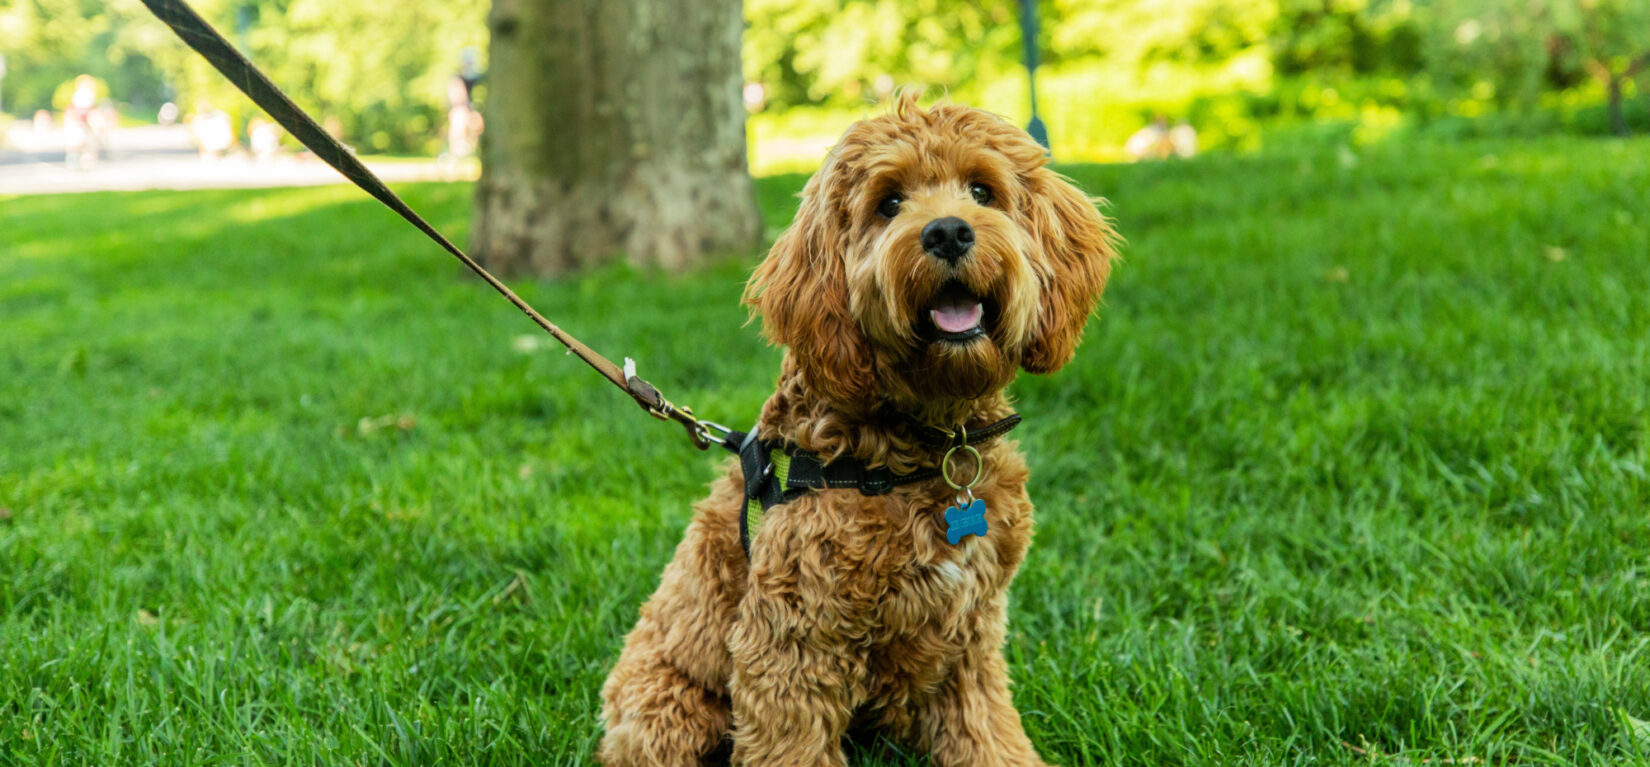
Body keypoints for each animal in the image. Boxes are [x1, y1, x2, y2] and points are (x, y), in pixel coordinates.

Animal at [600, 97, 1115, 765]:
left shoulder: (970, 635)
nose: (948, 231)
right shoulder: (791, 642)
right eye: (888, 202)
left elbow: (987, 730)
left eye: (982, 190)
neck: (916, 451)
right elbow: (791, 744)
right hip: (664, 708)